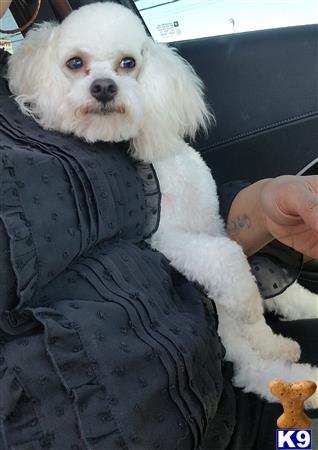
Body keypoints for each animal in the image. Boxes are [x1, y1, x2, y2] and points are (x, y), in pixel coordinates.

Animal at [8, 0, 318, 408]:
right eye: (75, 63)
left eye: (128, 62)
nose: (103, 87)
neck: (160, 168)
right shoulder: (167, 239)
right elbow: (227, 258)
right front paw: (249, 301)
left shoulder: (213, 221)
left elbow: (239, 259)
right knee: (253, 365)